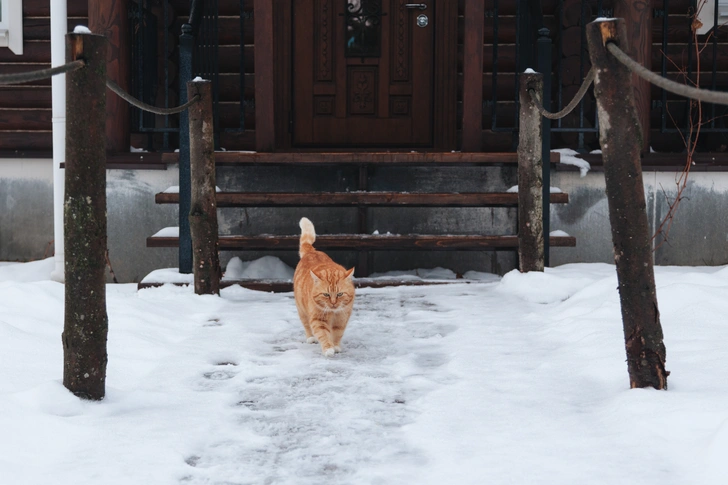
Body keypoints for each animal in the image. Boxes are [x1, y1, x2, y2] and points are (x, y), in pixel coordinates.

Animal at [292, 216, 356, 356]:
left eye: (340, 294)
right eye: (326, 294)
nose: (333, 303)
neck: (333, 312)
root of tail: (311, 252)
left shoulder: (342, 318)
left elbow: (337, 334)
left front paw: (335, 346)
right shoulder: (318, 320)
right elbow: (323, 335)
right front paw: (328, 348)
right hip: (302, 310)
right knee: (306, 324)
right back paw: (311, 338)